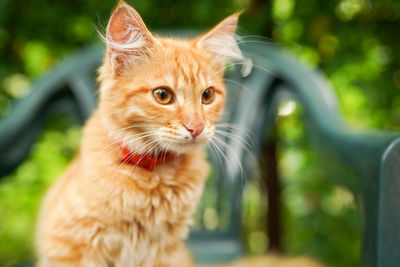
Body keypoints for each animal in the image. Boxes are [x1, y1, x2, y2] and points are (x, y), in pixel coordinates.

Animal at [36, 2, 324, 267]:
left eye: (207, 96)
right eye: (163, 95)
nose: (196, 128)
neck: (155, 176)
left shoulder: (165, 253)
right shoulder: (70, 248)